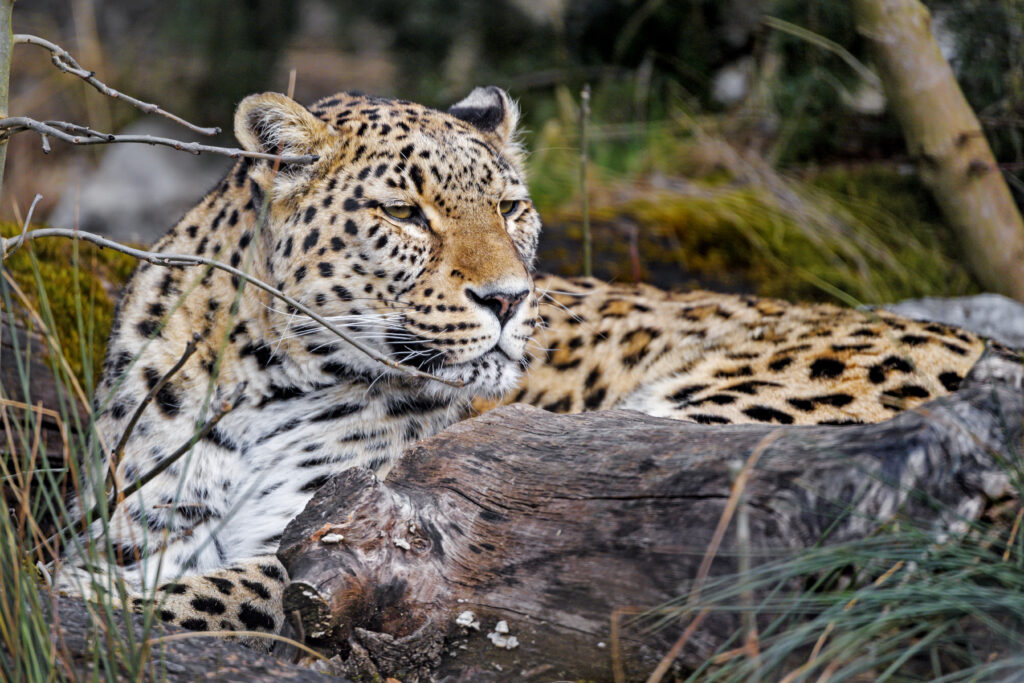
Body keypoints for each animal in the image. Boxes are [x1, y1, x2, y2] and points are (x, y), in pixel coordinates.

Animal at [52, 85, 986, 645]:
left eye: (511, 207)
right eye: (405, 213)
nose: (508, 299)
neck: (260, 380)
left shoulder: (353, 528)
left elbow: (205, 593)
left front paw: (81, 600)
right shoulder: (141, 522)